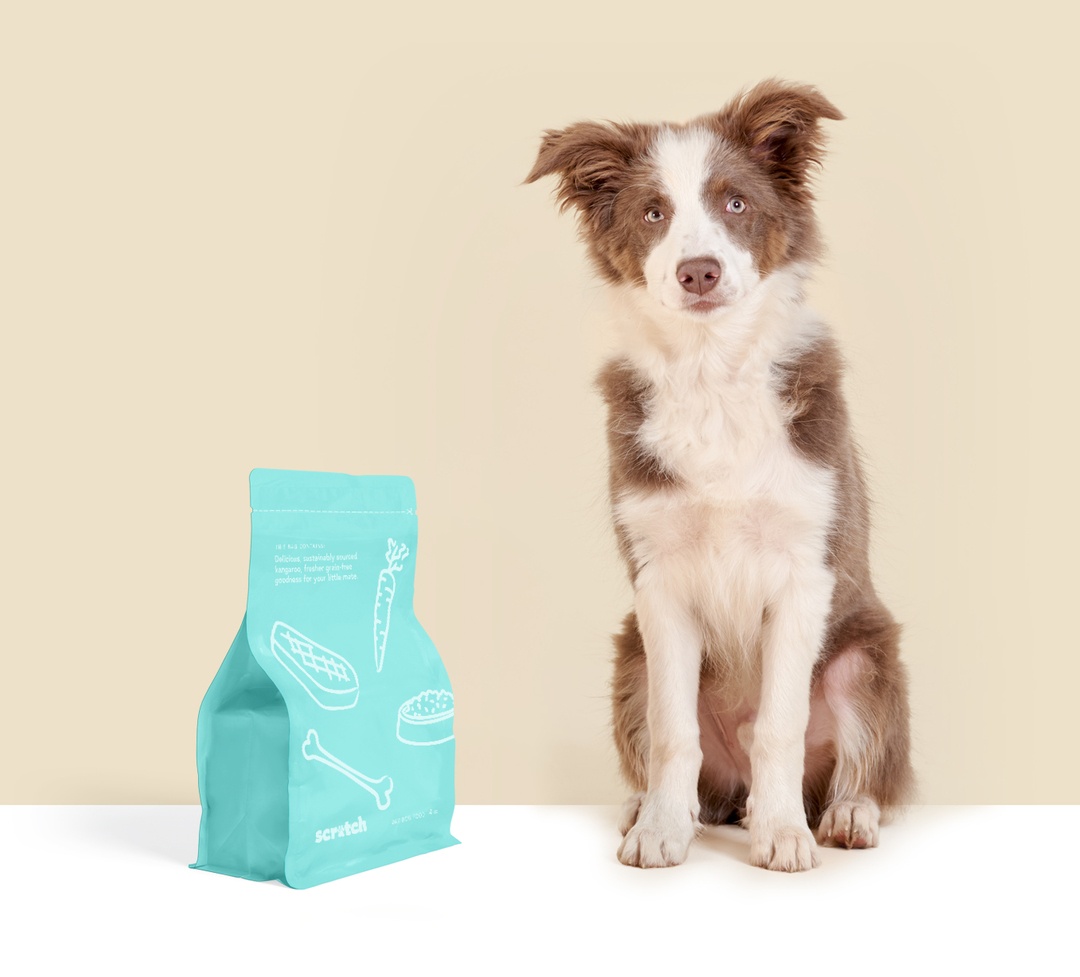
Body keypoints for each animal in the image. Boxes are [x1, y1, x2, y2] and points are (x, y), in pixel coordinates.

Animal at [527, 78, 915, 867]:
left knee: (867, 773)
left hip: (867, 656)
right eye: (654, 213)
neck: (711, 374)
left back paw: (843, 813)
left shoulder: (805, 573)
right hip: (630, 657)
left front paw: (784, 834)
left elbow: (778, 726)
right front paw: (660, 832)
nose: (698, 271)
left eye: (735, 202)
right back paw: (653, 807)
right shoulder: (659, 581)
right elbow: (674, 733)